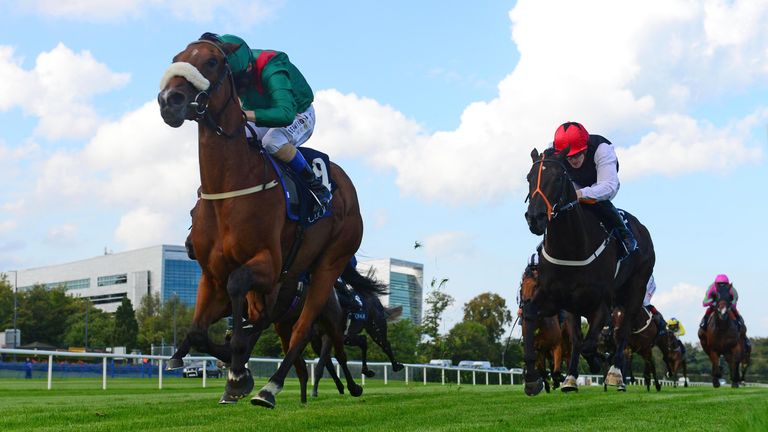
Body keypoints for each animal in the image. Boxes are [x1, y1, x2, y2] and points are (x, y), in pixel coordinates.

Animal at [158, 34, 368, 408]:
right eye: (176, 57)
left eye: (212, 62)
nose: (170, 100)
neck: (229, 188)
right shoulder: (211, 275)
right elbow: (198, 331)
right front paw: (228, 365)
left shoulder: (267, 264)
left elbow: (239, 286)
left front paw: (238, 374)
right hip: (295, 272)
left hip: (329, 264)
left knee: (301, 330)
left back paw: (271, 387)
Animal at [520, 121, 656, 394]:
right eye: (529, 177)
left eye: (558, 177)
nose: (535, 218)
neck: (571, 248)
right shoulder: (553, 297)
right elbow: (534, 317)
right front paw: (532, 377)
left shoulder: (601, 303)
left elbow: (591, 344)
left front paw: (600, 363)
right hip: (574, 306)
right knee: (577, 337)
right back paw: (571, 378)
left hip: (636, 287)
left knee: (623, 330)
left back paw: (615, 373)